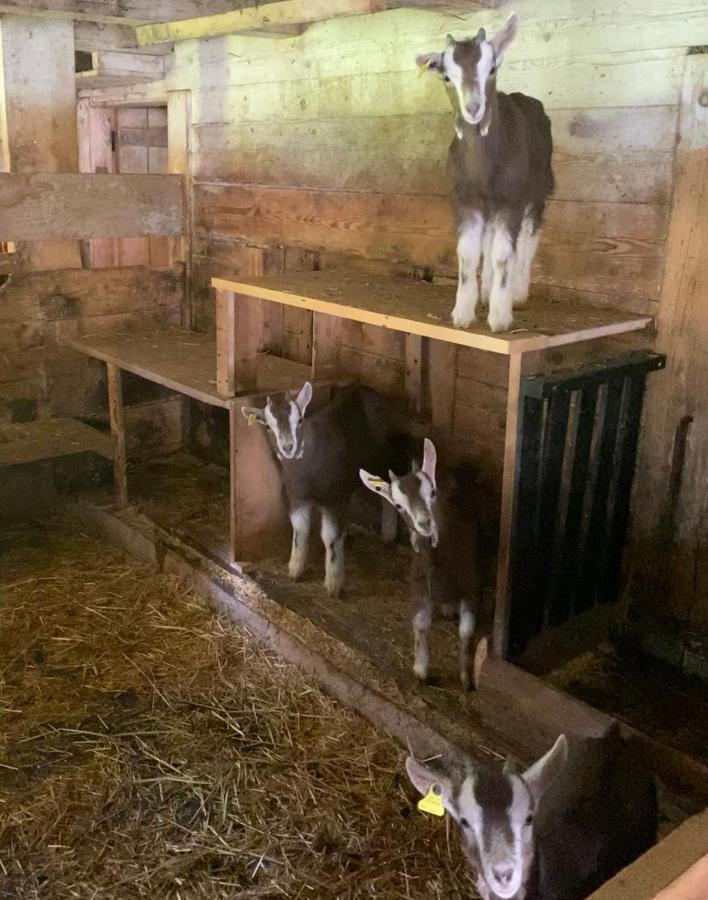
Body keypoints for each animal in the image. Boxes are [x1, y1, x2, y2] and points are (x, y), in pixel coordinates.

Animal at [243, 380, 406, 596]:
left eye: (300, 420)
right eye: (268, 426)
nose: (288, 447)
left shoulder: (333, 499)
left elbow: (330, 537)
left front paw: (334, 584)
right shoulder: (296, 496)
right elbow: (300, 529)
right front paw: (295, 569)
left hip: (385, 456)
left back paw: (388, 534)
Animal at [360, 438, 482, 688]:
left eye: (432, 492)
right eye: (398, 506)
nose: (424, 523)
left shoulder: (472, 585)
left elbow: (466, 631)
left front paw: (465, 677)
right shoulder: (418, 582)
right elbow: (420, 622)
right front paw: (421, 669)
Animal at [418, 14, 556, 334]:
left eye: (491, 69)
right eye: (446, 76)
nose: (473, 107)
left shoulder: (511, 197)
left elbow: (504, 255)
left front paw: (500, 316)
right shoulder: (465, 197)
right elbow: (468, 254)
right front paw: (462, 313)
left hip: (538, 189)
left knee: (528, 237)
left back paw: (517, 291)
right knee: (491, 237)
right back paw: (486, 291)